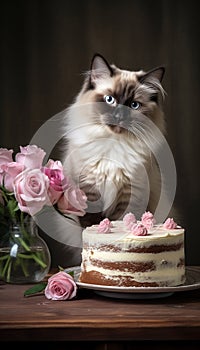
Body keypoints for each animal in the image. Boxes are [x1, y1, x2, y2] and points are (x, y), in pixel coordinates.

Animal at [61, 51, 170, 227]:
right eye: (109, 99)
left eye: (134, 105)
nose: (119, 116)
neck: (114, 144)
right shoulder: (88, 190)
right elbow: (89, 224)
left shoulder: (129, 196)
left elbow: (123, 220)